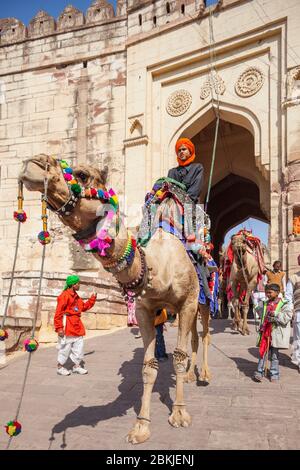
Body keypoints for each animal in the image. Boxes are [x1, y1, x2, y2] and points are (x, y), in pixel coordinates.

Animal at [18, 154, 211, 444]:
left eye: (83, 175)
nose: (33, 163)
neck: (156, 265)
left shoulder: (187, 302)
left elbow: (178, 356)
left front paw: (179, 414)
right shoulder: (144, 310)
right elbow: (148, 366)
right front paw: (141, 426)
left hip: (204, 299)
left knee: (206, 333)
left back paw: (204, 375)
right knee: (196, 337)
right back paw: (189, 376)